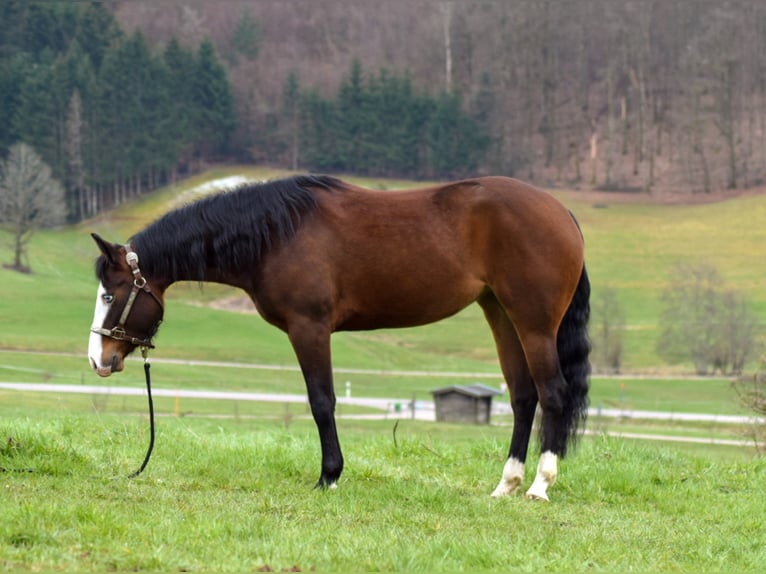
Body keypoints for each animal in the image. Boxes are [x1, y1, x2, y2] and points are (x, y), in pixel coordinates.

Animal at [90, 176, 592, 504]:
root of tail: (563, 212)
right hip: (501, 314)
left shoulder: (309, 328)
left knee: (553, 393)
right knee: (524, 397)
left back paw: (540, 485)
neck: (278, 235)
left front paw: (329, 476)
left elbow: (321, 402)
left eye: (110, 293)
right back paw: (506, 484)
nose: (99, 358)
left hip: (534, 323)